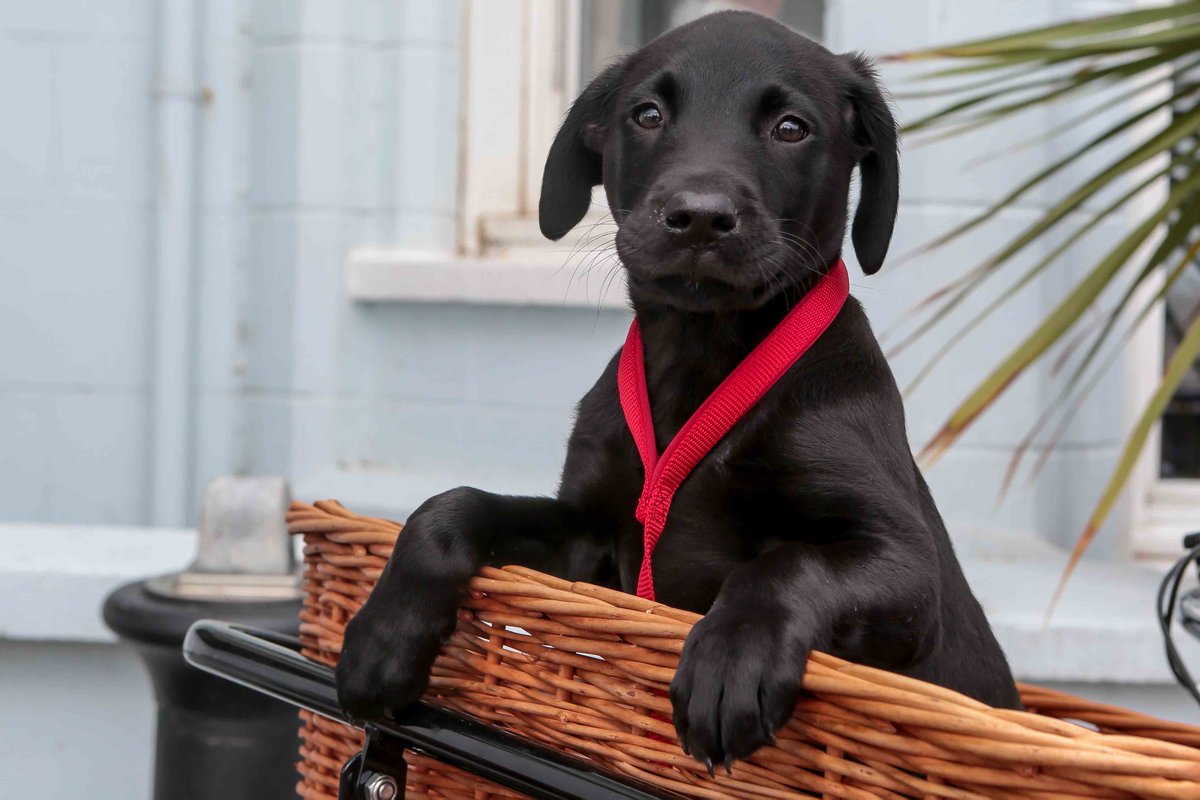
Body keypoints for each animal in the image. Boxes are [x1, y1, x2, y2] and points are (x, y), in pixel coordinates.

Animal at [340, 10, 1022, 767]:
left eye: (791, 127)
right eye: (647, 115)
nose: (698, 216)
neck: (701, 356)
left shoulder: (904, 564)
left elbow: (785, 563)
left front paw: (730, 662)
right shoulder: (591, 538)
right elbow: (452, 506)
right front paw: (381, 638)